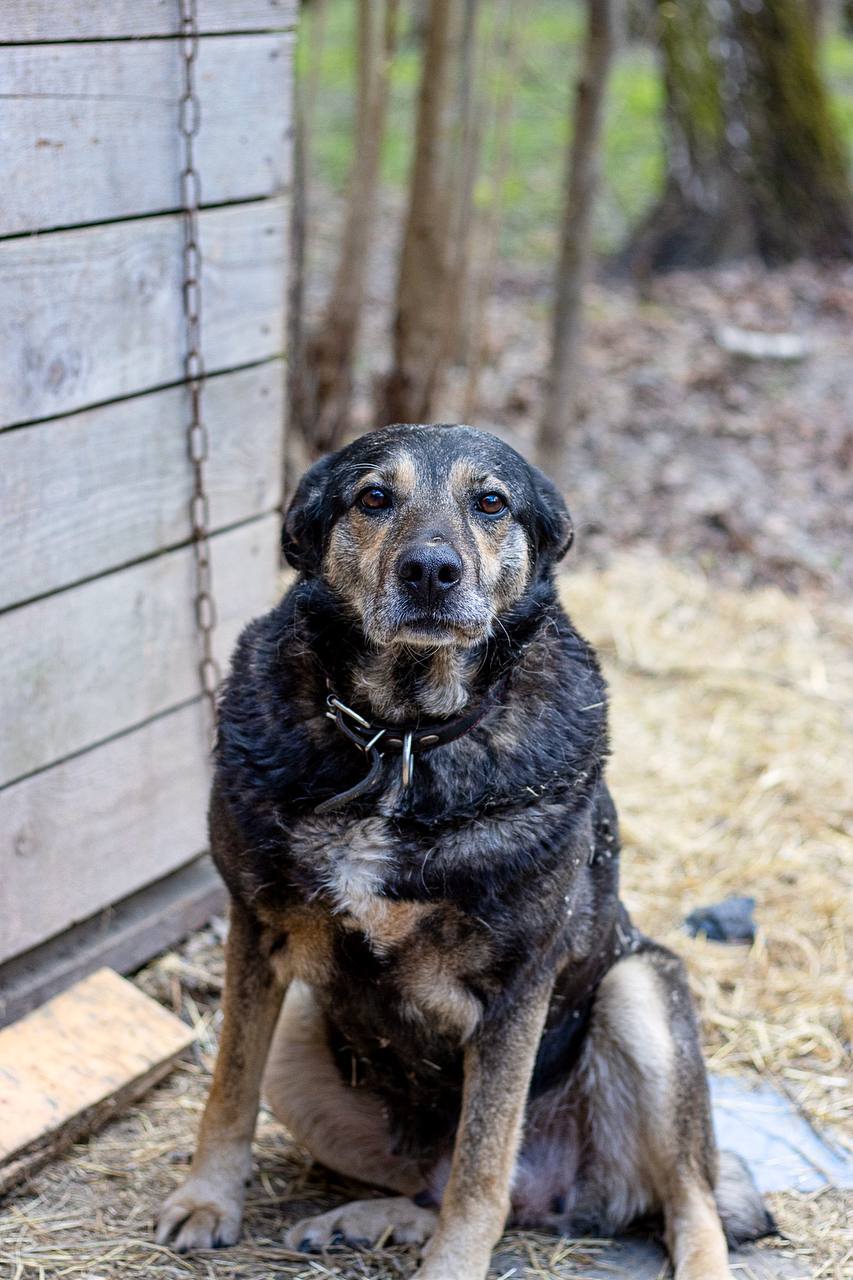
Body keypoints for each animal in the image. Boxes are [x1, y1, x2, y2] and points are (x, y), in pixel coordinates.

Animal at [154, 424, 768, 1274]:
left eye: (491, 503)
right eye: (373, 497)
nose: (430, 572)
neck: (402, 742)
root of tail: (567, 1195)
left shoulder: (516, 987)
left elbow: (483, 1165)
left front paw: (452, 1265)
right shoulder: (258, 932)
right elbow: (228, 1088)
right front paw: (207, 1200)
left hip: (638, 989)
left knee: (686, 1201)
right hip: (306, 1034)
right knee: (442, 1185)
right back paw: (372, 1219)